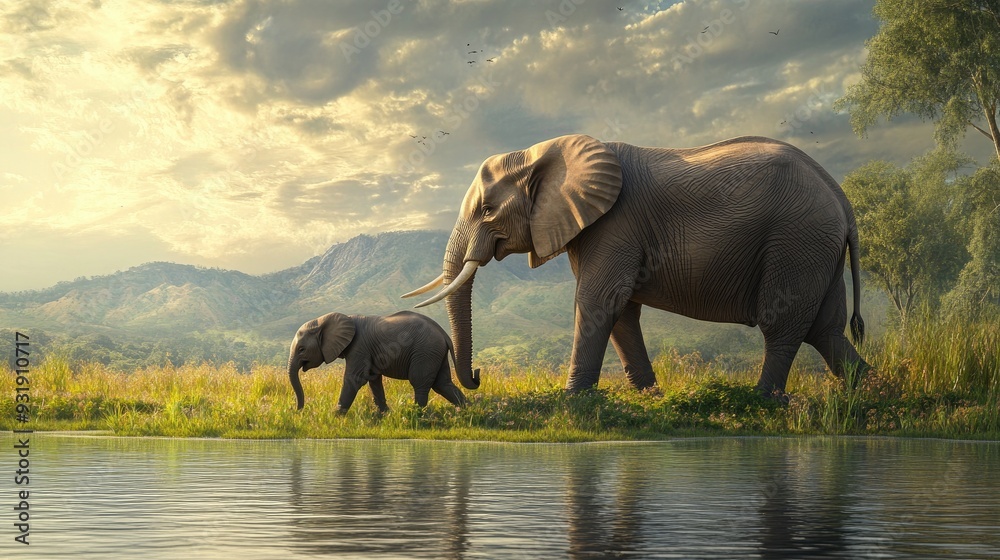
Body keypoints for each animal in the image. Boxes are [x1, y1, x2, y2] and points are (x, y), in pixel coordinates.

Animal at [287, 310, 471, 412]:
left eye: (302, 349)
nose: (298, 411)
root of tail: (444, 334)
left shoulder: (359, 346)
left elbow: (355, 379)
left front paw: (335, 416)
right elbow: (374, 379)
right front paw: (384, 415)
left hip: (425, 351)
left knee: (420, 383)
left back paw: (417, 415)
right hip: (435, 353)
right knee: (442, 383)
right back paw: (467, 411)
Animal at [403, 134, 869, 398]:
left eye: (487, 211)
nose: (479, 375)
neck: (541, 152)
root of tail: (842, 199)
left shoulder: (615, 223)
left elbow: (598, 301)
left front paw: (573, 400)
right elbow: (622, 311)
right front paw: (650, 396)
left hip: (797, 240)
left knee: (784, 326)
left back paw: (761, 400)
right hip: (814, 248)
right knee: (825, 329)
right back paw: (868, 390)